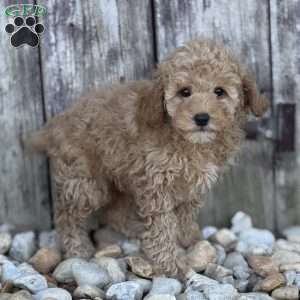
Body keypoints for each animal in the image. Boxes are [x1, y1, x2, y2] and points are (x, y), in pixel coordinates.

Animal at [31, 38, 270, 278]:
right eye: (185, 92)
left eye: (219, 91)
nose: (201, 118)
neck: (188, 141)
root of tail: (57, 123)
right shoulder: (157, 185)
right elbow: (162, 226)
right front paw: (171, 263)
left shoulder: (190, 188)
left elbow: (184, 216)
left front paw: (188, 240)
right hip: (85, 182)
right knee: (66, 214)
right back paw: (77, 248)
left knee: (113, 211)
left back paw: (134, 230)